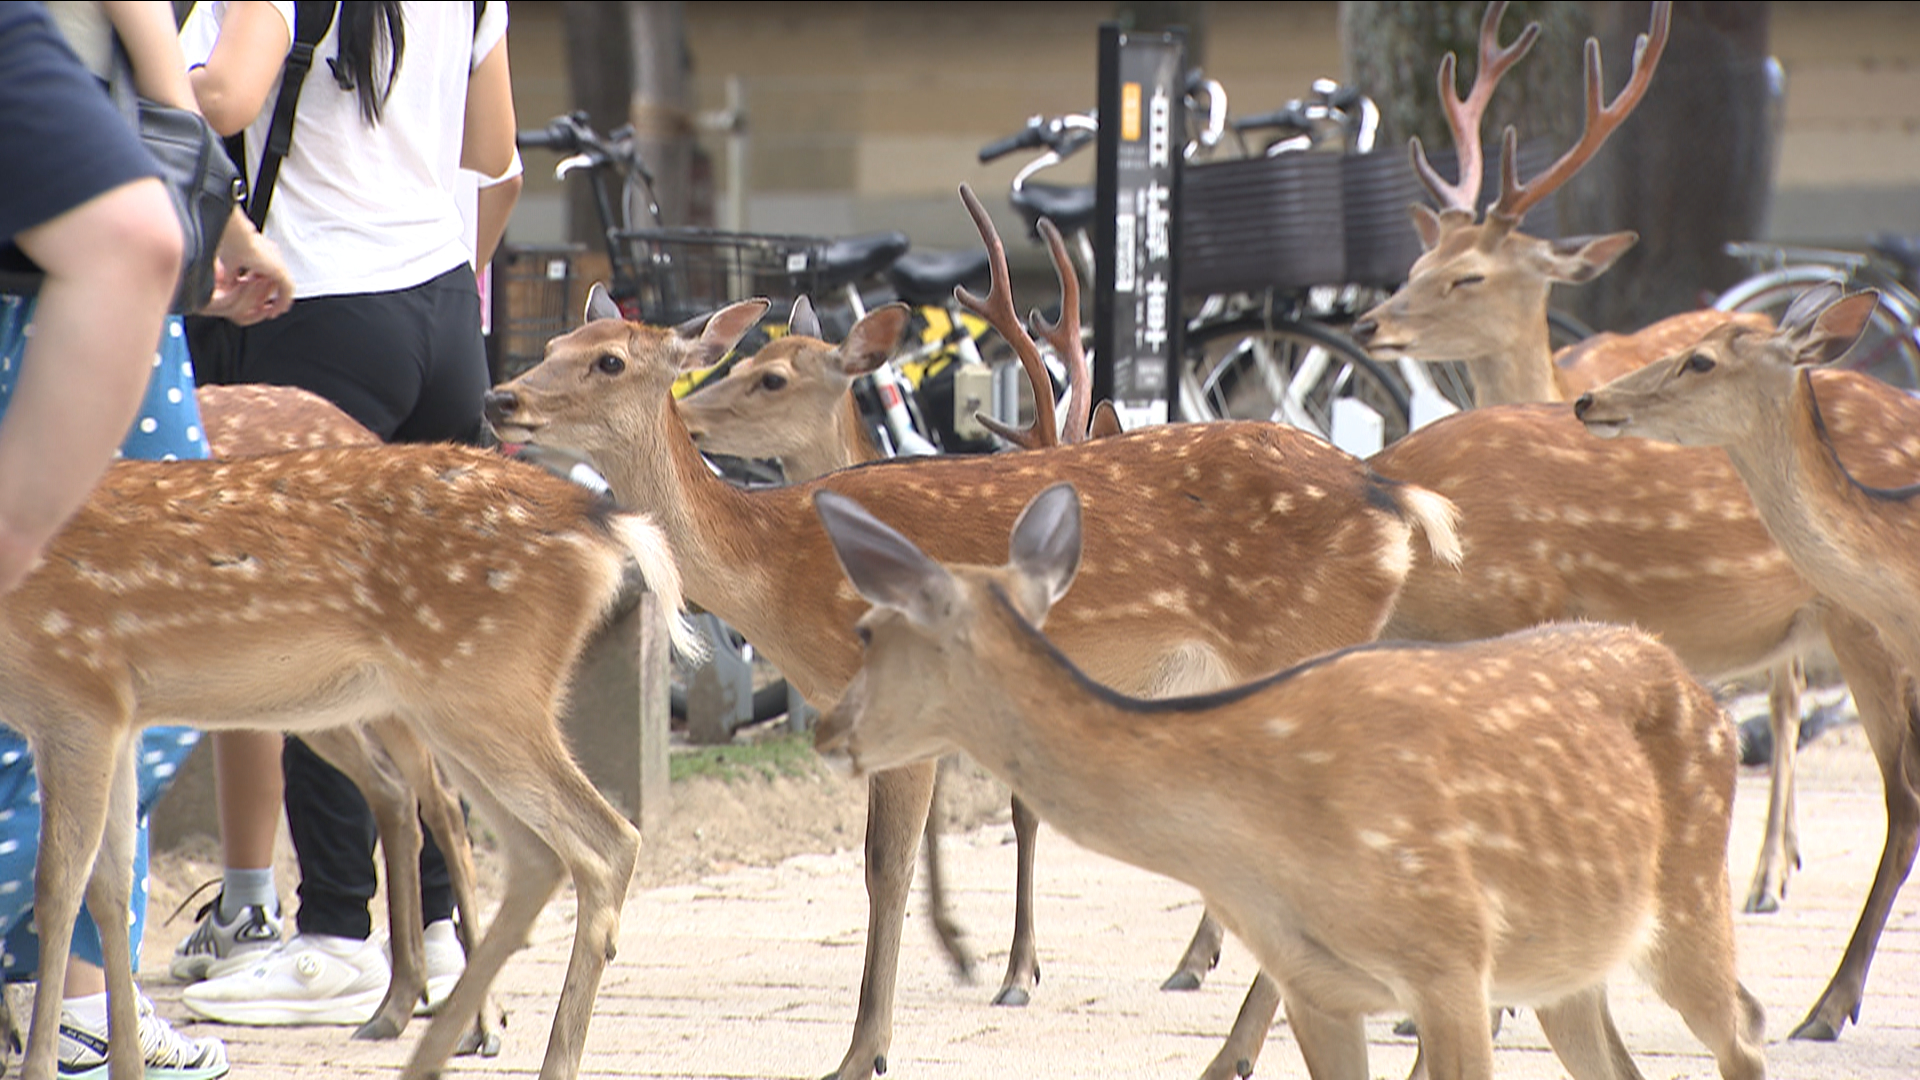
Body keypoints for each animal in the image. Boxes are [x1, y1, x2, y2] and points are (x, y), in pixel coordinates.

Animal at [0, 440, 696, 1080]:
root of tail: (602, 520)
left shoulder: (76, 697)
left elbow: (56, 888)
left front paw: (39, 1065)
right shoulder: (120, 718)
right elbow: (110, 888)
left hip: (481, 686)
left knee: (605, 840)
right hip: (459, 702)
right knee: (532, 854)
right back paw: (437, 1046)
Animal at [483, 179, 1465, 1080]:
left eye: (611, 360)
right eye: (555, 345)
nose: (499, 399)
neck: (779, 564)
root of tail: (1392, 496)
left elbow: (884, 869)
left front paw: (862, 1054)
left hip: (1300, 644)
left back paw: (1238, 1053)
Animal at [812, 481, 1766, 1080]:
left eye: (866, 631)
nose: (824, 729)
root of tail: (1709, 699)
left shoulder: (1451, 960)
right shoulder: (1322, 985)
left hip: (1686, 900)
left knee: (1745, 1037)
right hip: (1569, 967)